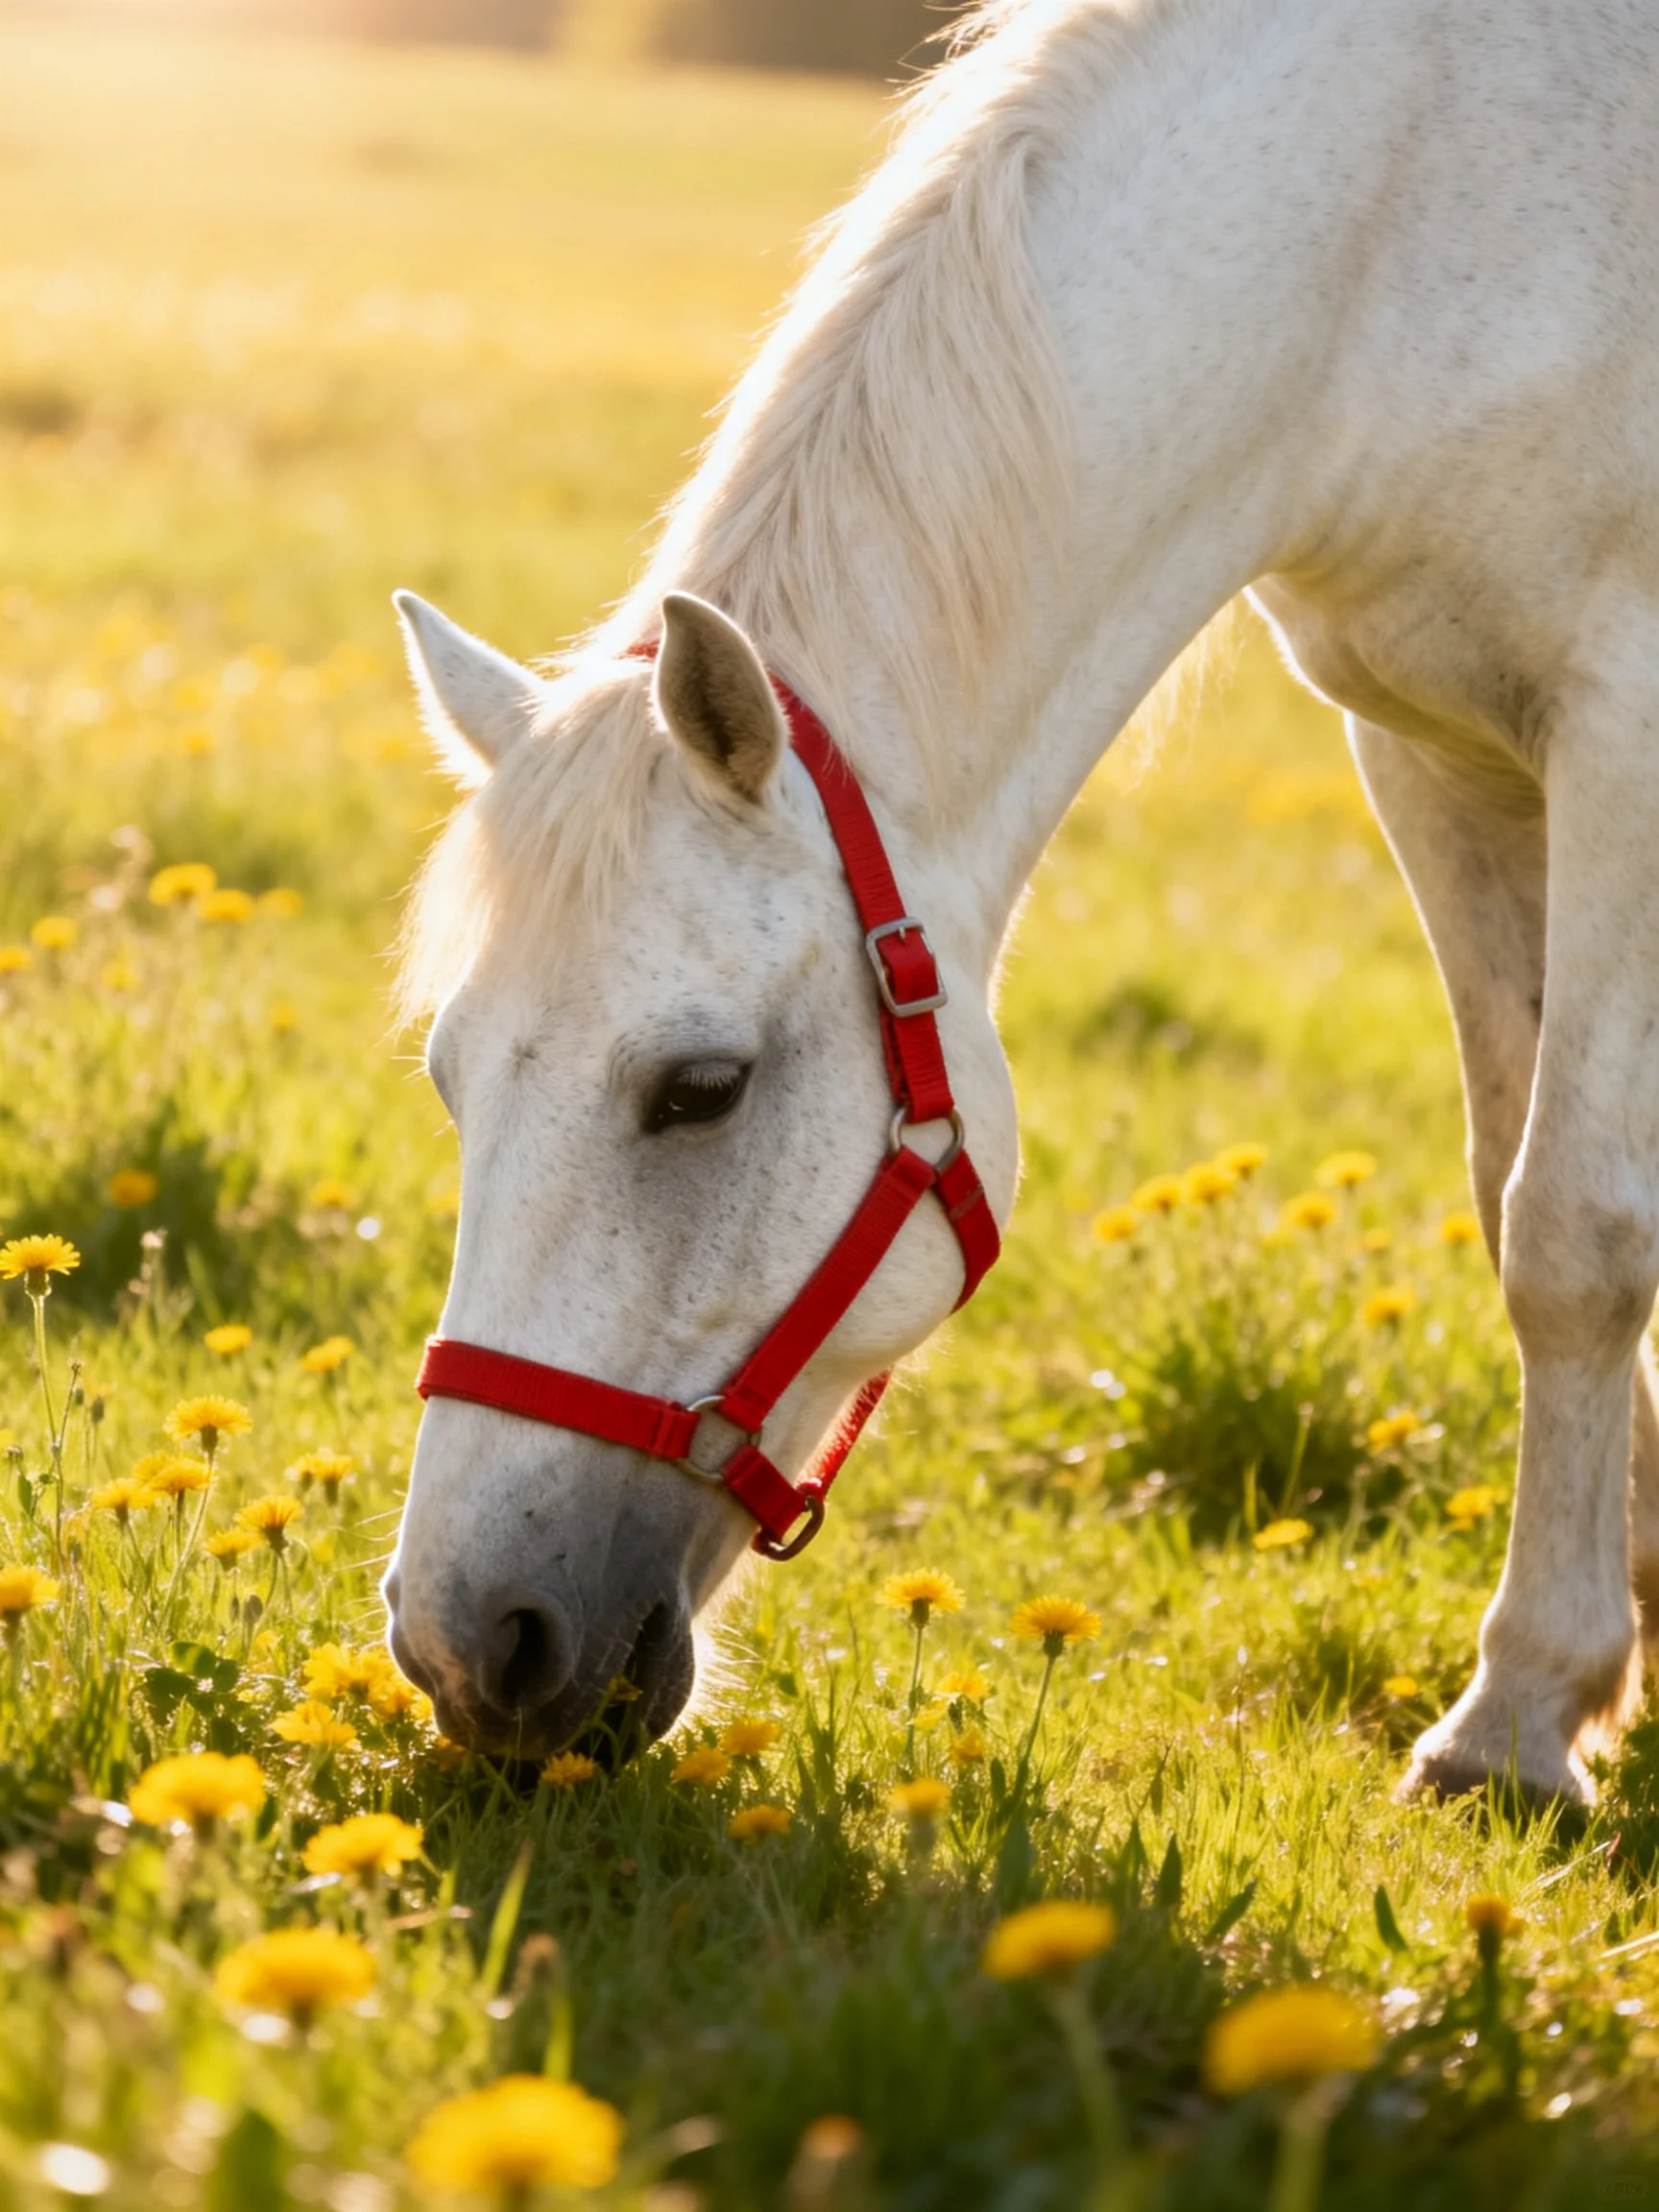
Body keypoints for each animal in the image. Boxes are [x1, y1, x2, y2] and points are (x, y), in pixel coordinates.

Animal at [382, 0, 1659, 1807]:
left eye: (699, 1088)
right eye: (449, 1078)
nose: (464, 1644)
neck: (1412, 197)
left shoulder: (1619, 723)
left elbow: (1575, 1229)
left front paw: (1520, 1717)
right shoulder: (1433, 754)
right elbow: (1508, 1191)